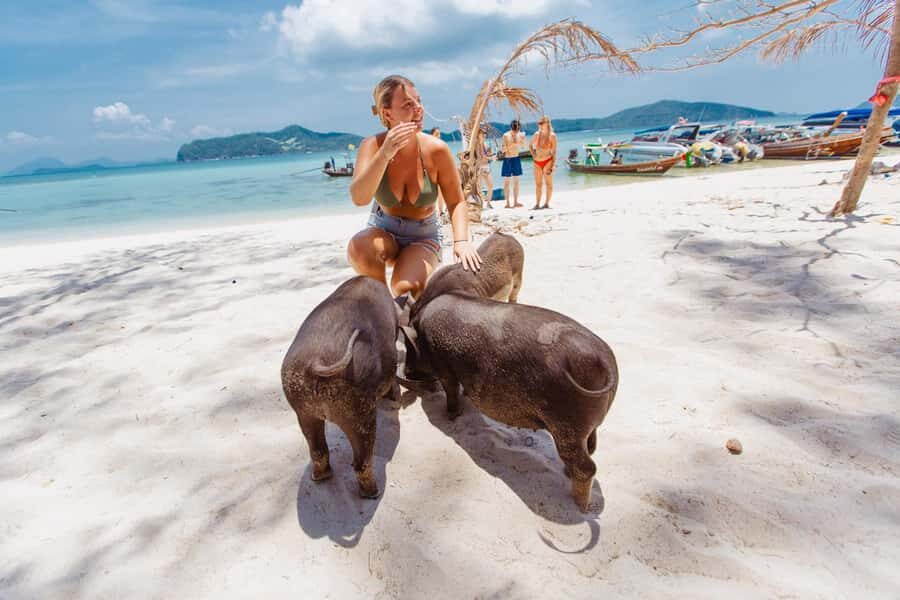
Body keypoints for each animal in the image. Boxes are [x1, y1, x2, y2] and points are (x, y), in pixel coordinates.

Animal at [281, 276, 400, 498]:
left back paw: (319, 477)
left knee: (318, 450)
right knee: (362, 462)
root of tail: (316, 362)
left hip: (302, 409)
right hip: (361, 413)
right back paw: (373, 493)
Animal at [408, 292, 618, 511]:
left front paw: (450, 417)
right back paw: (567, 475)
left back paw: (580, 507)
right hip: (585, 426)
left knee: (587, 467)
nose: (406, 371)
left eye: (408, 347)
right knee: (591, 447)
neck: (422, 332)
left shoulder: (444, 368)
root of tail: (605, 360)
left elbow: (450, 390)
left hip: (566, 426)